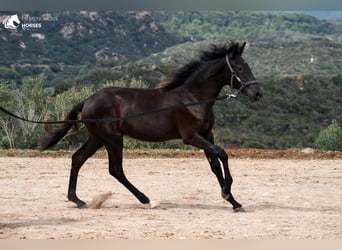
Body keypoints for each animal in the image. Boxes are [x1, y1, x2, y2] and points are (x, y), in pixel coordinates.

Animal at [39, 41, 262, 211]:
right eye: (240, 68)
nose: (258, 93)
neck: (193, 99)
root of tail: (87, 100)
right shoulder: (191, 137)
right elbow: (222, 153)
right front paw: (226, 192)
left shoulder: (207, 135)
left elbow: (215, 164)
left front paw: (233, 201)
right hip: (112, 139)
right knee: (115, 170)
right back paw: (146, 199)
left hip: (97, 138)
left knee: (78, 158)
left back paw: (78, 200)